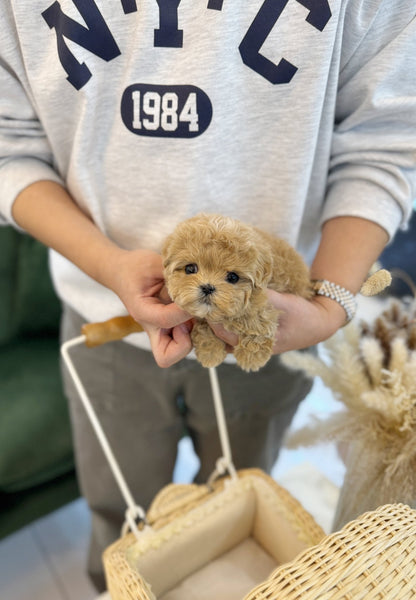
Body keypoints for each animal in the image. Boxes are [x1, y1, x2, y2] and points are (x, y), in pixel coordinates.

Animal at [161, 213, 310, 368]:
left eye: (233, 277)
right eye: (190, 268)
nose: (207, 287)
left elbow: (257, 316)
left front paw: (252, 355)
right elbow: (204, 326)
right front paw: (210, 353)